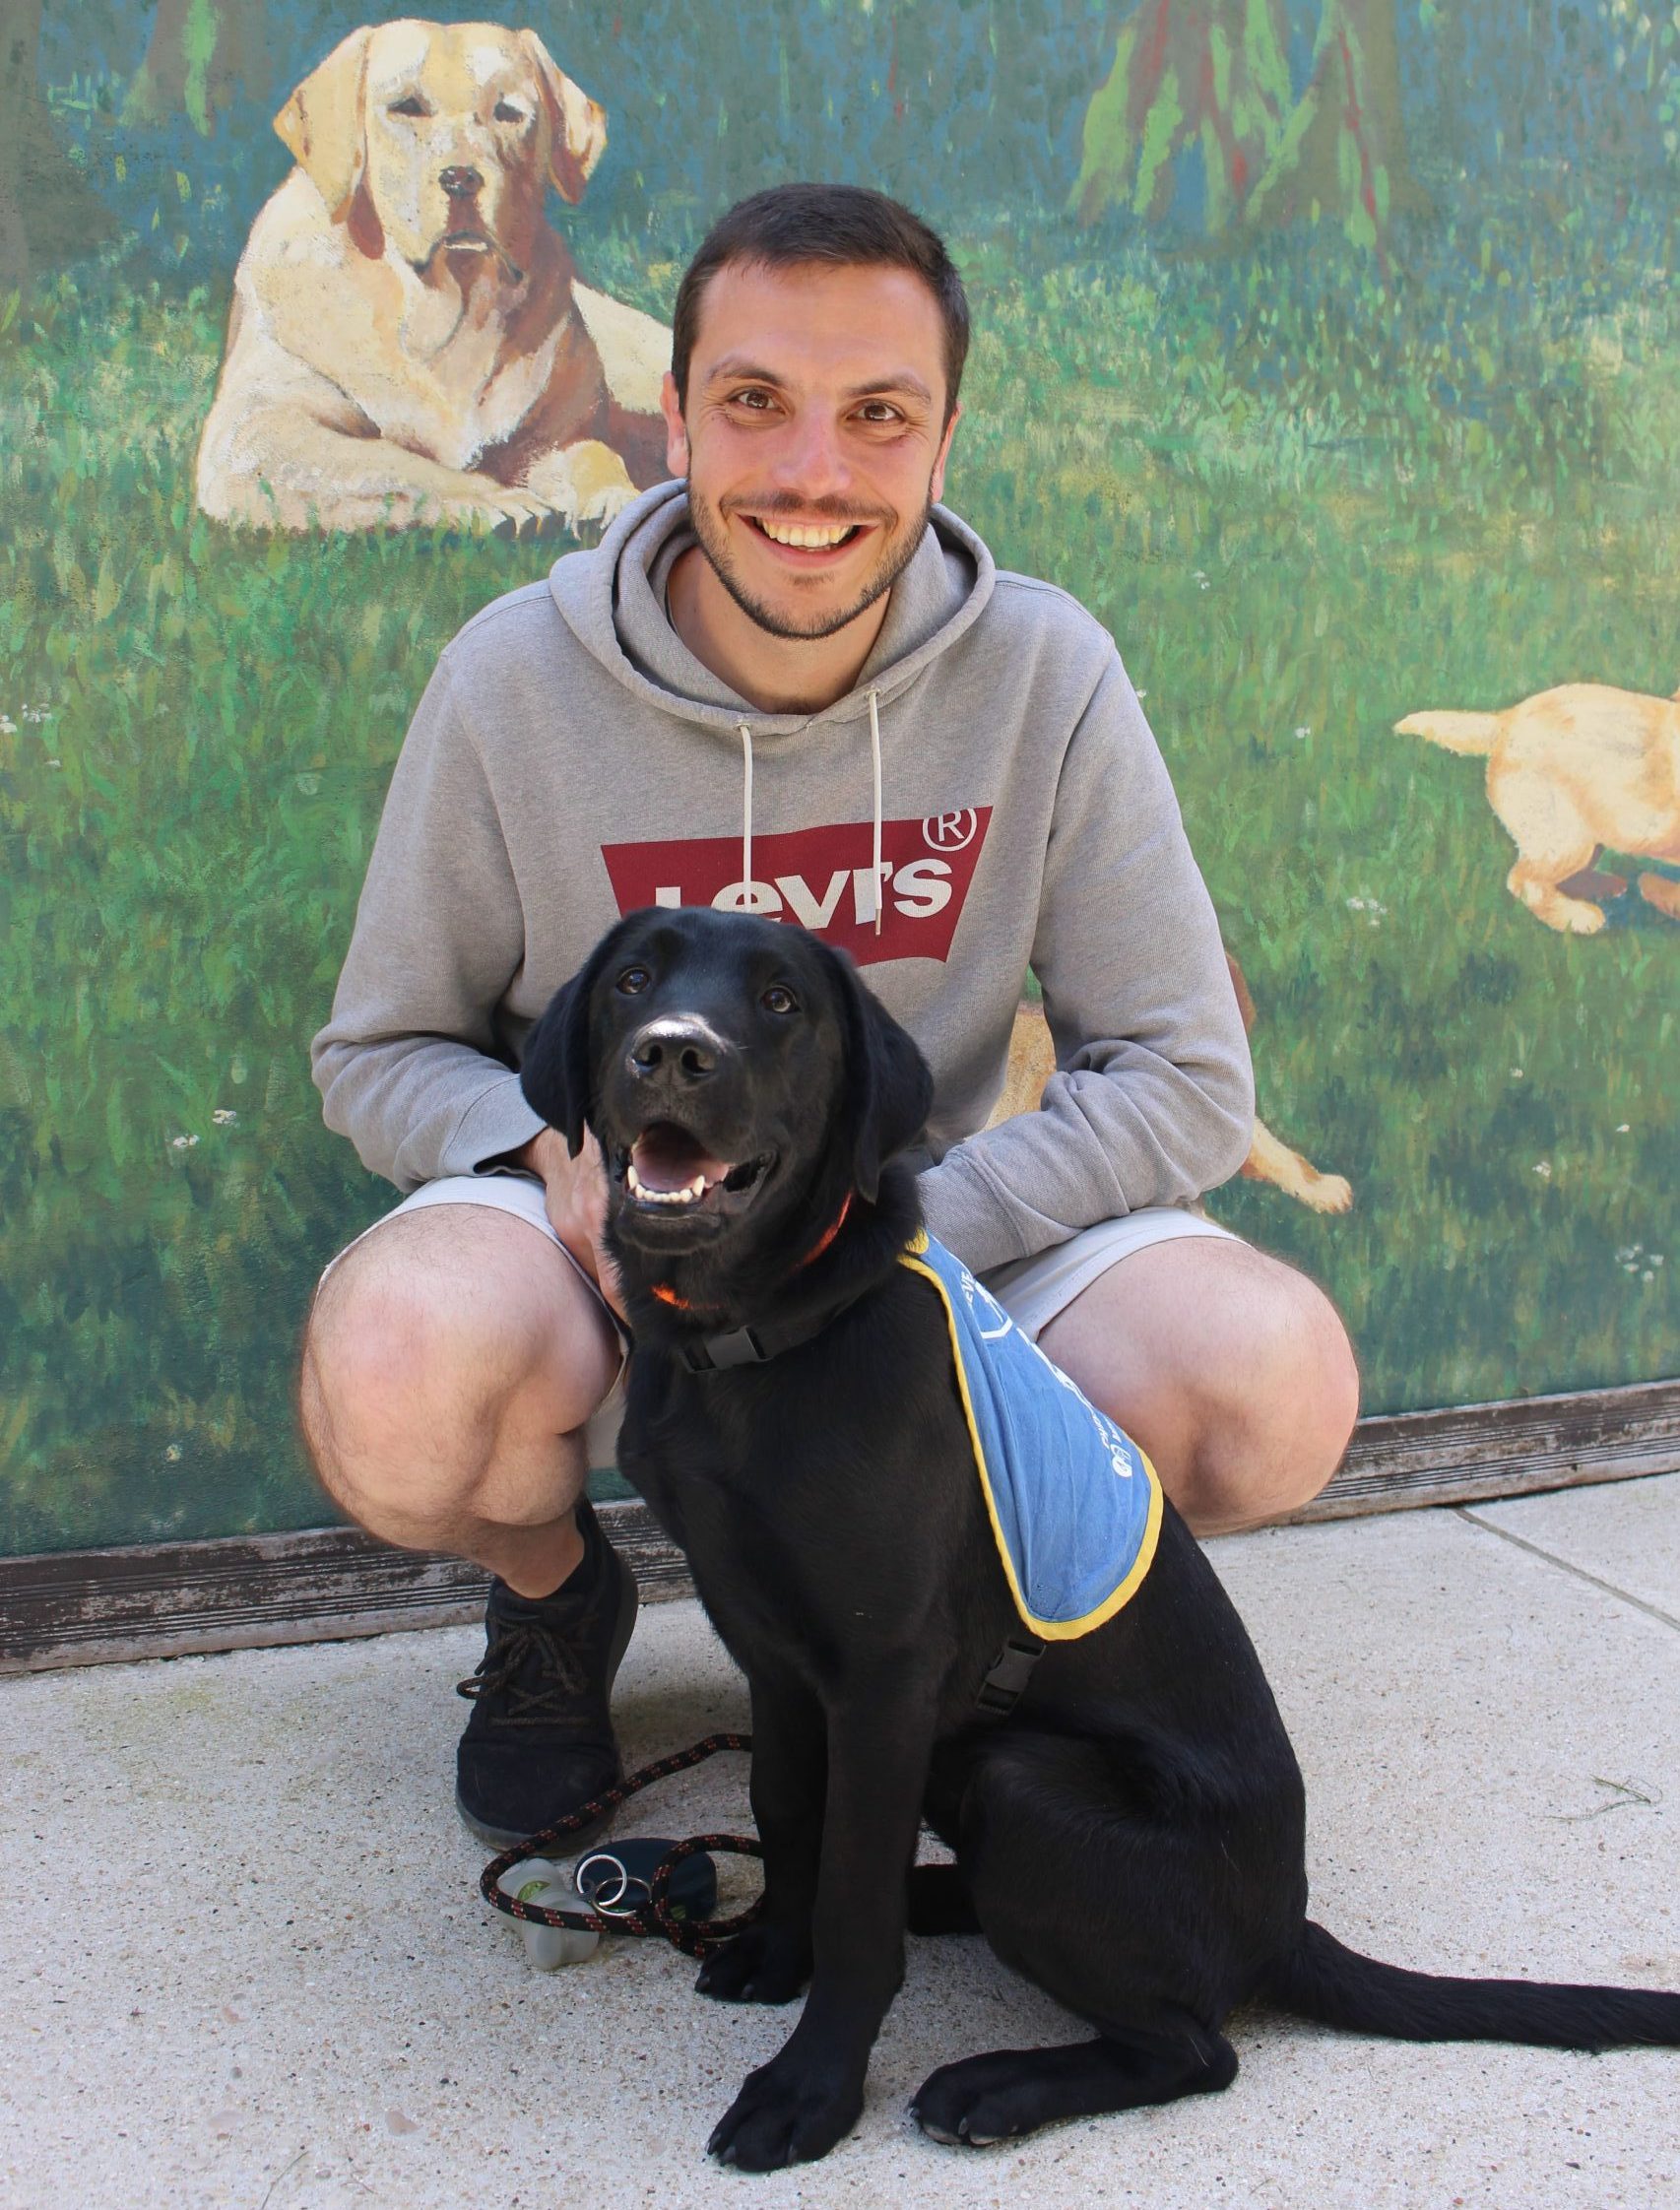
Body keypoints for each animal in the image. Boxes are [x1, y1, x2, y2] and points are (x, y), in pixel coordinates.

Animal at [519, 906, 1671, 2166]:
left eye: (781, 1003)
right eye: (633, 980)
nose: (674, 1051)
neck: (752, 1341)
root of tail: (1284, 1926)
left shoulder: (881, 1678)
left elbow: (854, 1898)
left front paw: (809, 2091)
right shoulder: (773, 1657)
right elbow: (787, 1815)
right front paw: (778, 1952)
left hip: (1018, 1778)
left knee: (1196, 2050)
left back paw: (995, 2084)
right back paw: (943, 1908)